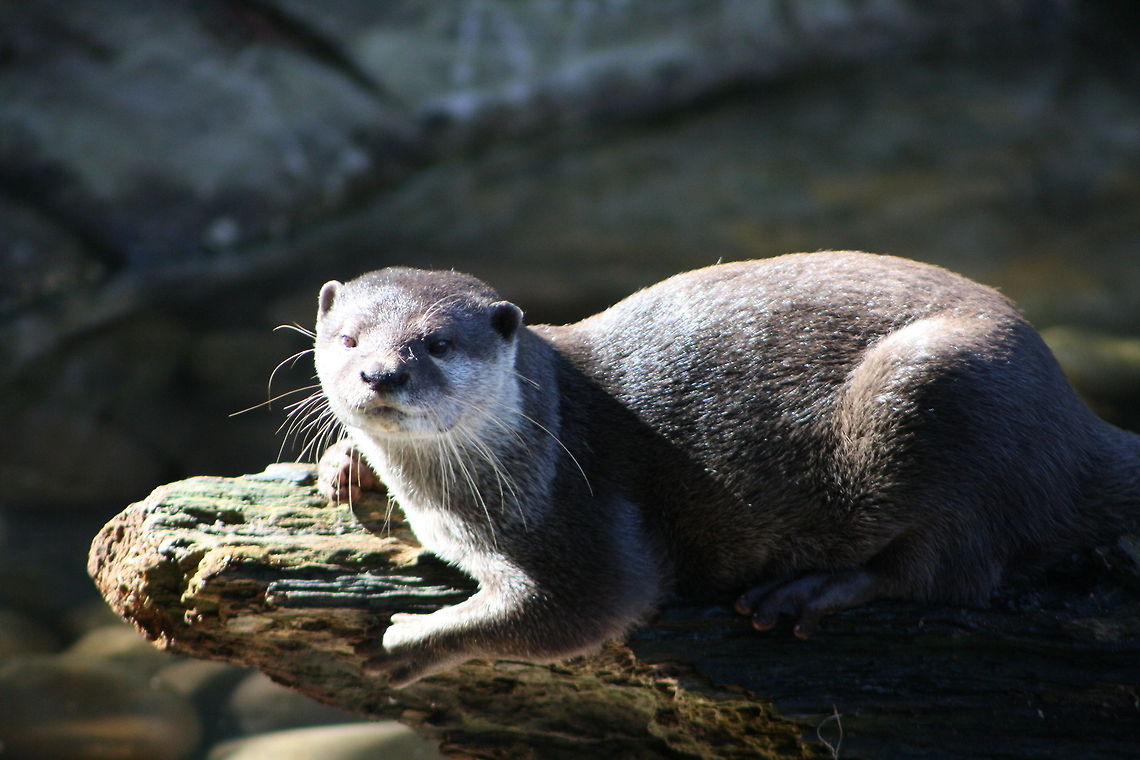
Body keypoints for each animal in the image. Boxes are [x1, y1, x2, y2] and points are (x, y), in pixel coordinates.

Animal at [312, 251, 1140, 687]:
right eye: (348, 338)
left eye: (436, 344)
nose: (381, 374)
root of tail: (1075, 421)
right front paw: (344, 464)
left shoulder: (580, 518)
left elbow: (582, 608)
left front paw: (410, 640)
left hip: (941, 392)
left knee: (946, 571)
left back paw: (809, 590)